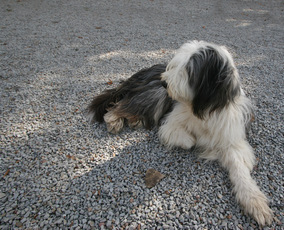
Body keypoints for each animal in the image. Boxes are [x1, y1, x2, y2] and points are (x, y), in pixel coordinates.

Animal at [88, 41, 272, 225]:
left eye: (189, 70)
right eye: (178, 65)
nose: (165, 83)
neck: (203, 109)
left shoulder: (231, 137)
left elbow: (239, 167)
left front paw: (254, 201)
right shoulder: (171, 123)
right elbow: (188, 139)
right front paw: (198, 140)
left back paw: (134, 120)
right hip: (151, 95)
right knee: (120, 106)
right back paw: (114, 120)